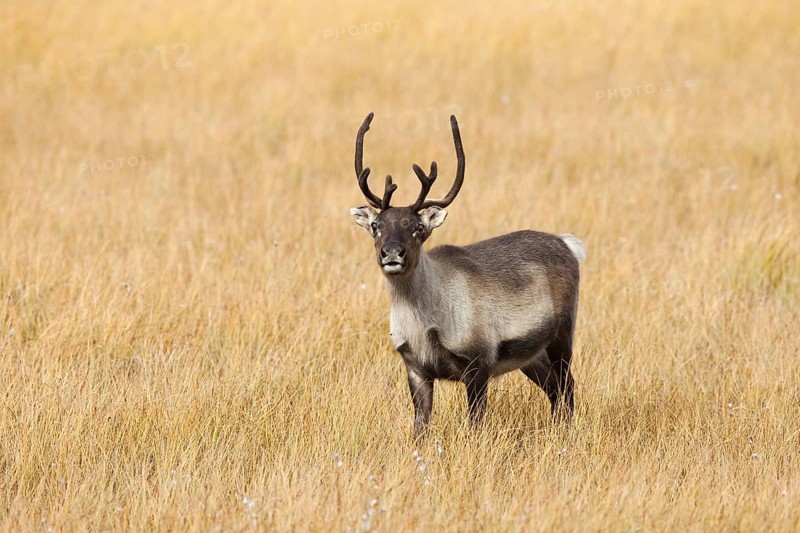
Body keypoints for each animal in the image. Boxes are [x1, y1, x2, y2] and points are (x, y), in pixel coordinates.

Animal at [349, 112, 586, 438]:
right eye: (377, 226)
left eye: (418, 227)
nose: (392, 253)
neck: (424, 325)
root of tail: (569, 244)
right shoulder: (415, 367)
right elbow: (420, 428)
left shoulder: (478, 363)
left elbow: (475, 425)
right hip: (532, 355)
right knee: (554, 390)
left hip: (562, 336)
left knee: (568, 387)